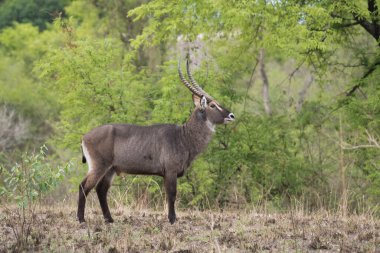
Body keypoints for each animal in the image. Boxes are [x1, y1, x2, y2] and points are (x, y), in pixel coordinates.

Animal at [78, 59, 235, 223]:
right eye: (212, 105)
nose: (231, 115)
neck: (183, 137)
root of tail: (84, 136)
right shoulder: (171, 171)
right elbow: (172, 195)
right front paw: (172, 219)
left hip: (111, 169)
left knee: (101, 189)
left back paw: (109, 219)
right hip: (99, 166)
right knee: (84, 186)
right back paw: (82, 219)